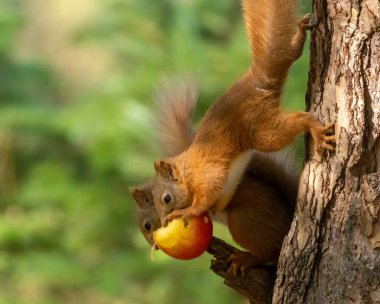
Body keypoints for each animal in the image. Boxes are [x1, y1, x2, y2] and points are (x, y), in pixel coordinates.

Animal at [131, 76, 300, 274]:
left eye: (147, 225)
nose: (155, 245)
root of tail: (287, 223)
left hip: (243, 220)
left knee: (268, 251)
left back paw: (246, 259)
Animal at [150, 0, 334, 228]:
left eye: (167, 198)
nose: (162, 222)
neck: (187, 169)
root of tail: (257, 80)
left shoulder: (205, 173)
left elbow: (206, 194)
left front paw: (189, 210)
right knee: (290, 55)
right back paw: (298, 34)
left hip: (261, 131)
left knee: (297, 121)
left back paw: (315, 129)